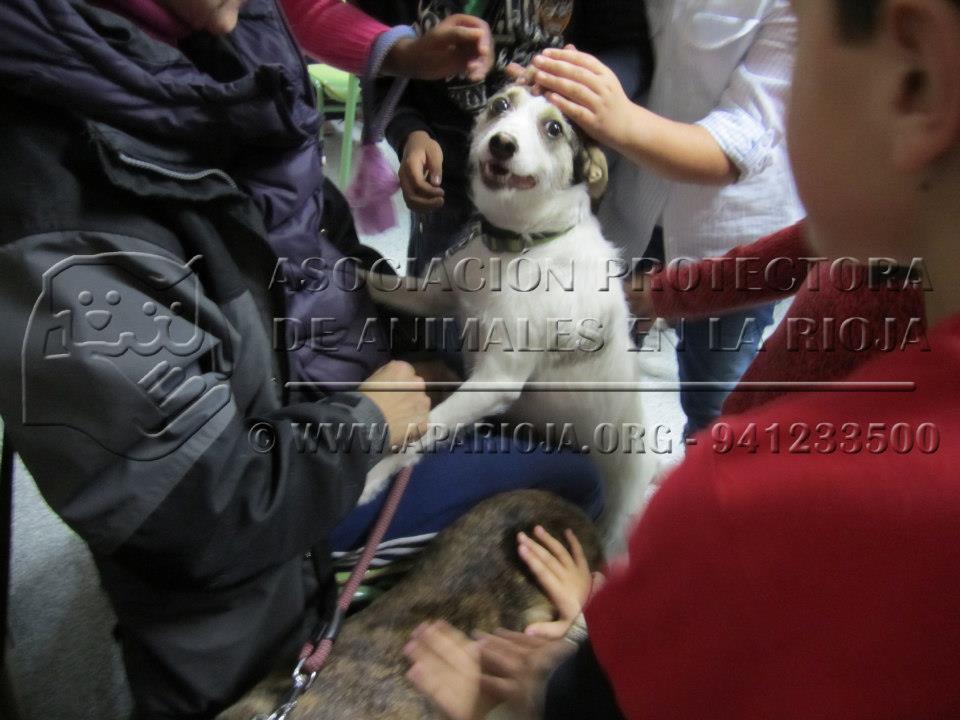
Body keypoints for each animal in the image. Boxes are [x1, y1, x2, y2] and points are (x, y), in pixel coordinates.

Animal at [363, 85, 654, 549]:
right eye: (500, 105)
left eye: (554, 128)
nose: (502, 143)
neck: (519, 246)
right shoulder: (435, 298)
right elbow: (377, 282)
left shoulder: (495, 380)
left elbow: (425, 428)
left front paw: (374, 477)